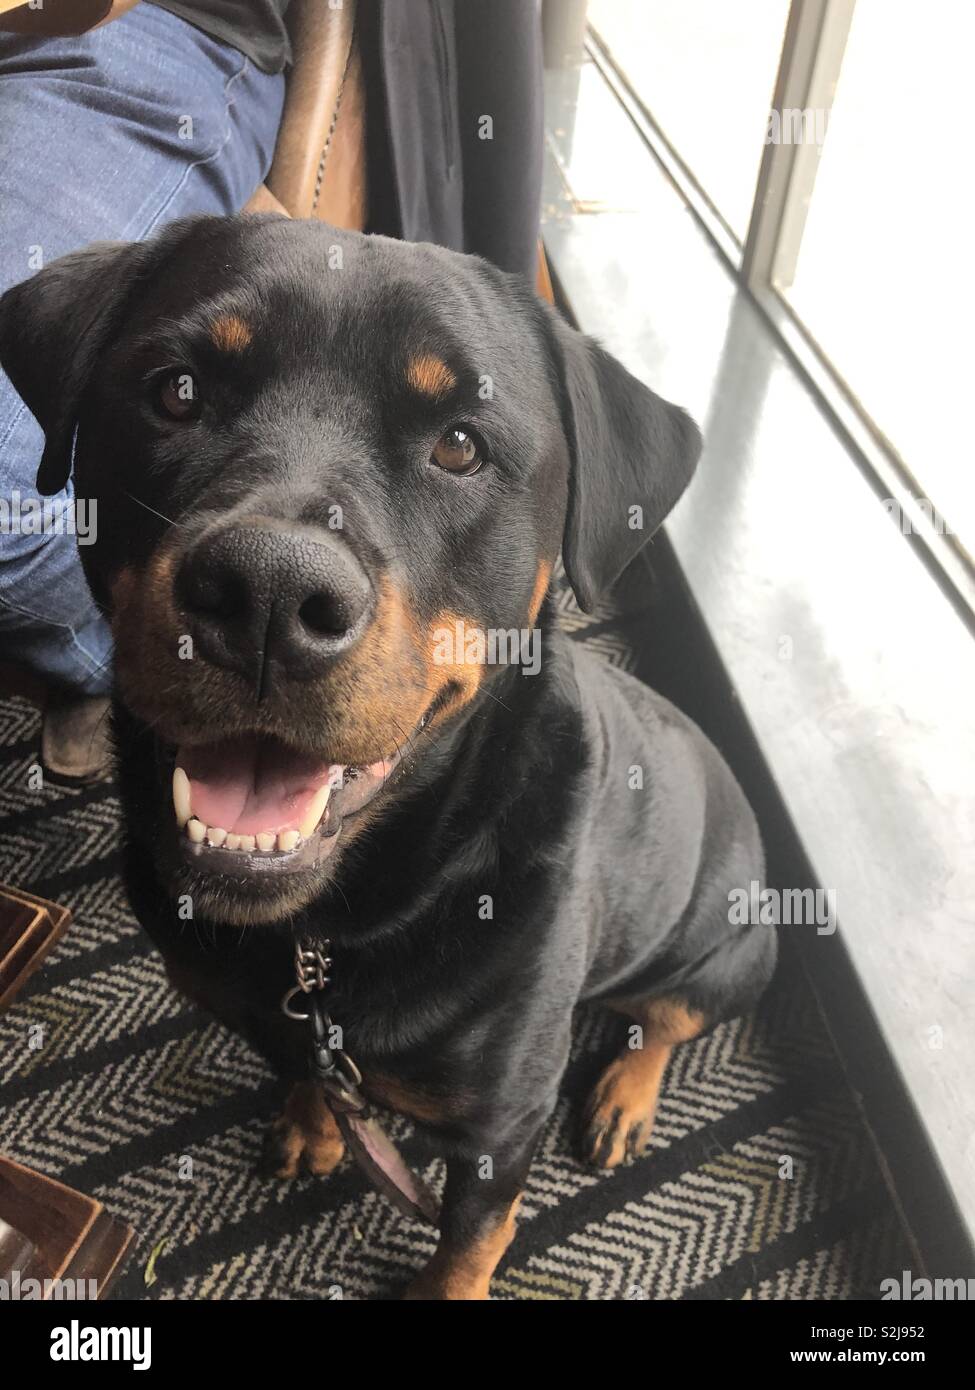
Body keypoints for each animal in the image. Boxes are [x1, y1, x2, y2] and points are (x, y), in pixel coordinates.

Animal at [0, 211, 773, 1295]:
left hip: (730, 952)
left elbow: (468, 1246)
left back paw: (626, 1092)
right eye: (176, 390)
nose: (268, 592)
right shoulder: (301, 1037)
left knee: (666, 1018)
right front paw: (316, 1125)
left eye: (460, 444)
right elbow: (317, 1080)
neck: (327, 930)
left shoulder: (500, 1129)